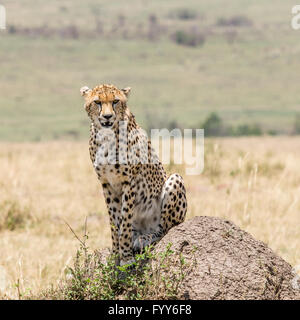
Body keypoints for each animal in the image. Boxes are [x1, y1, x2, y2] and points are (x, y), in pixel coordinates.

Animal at [80, 84, 188, 266]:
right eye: (97, 102)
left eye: (115, 101)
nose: (107, 116)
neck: (106, 135)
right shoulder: (107, 184)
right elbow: (114, 222)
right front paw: (115, 256)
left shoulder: (128, 182)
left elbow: (124, 220)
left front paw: (126, 258)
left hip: (174, 180)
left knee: (164, 229)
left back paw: (145, 238)